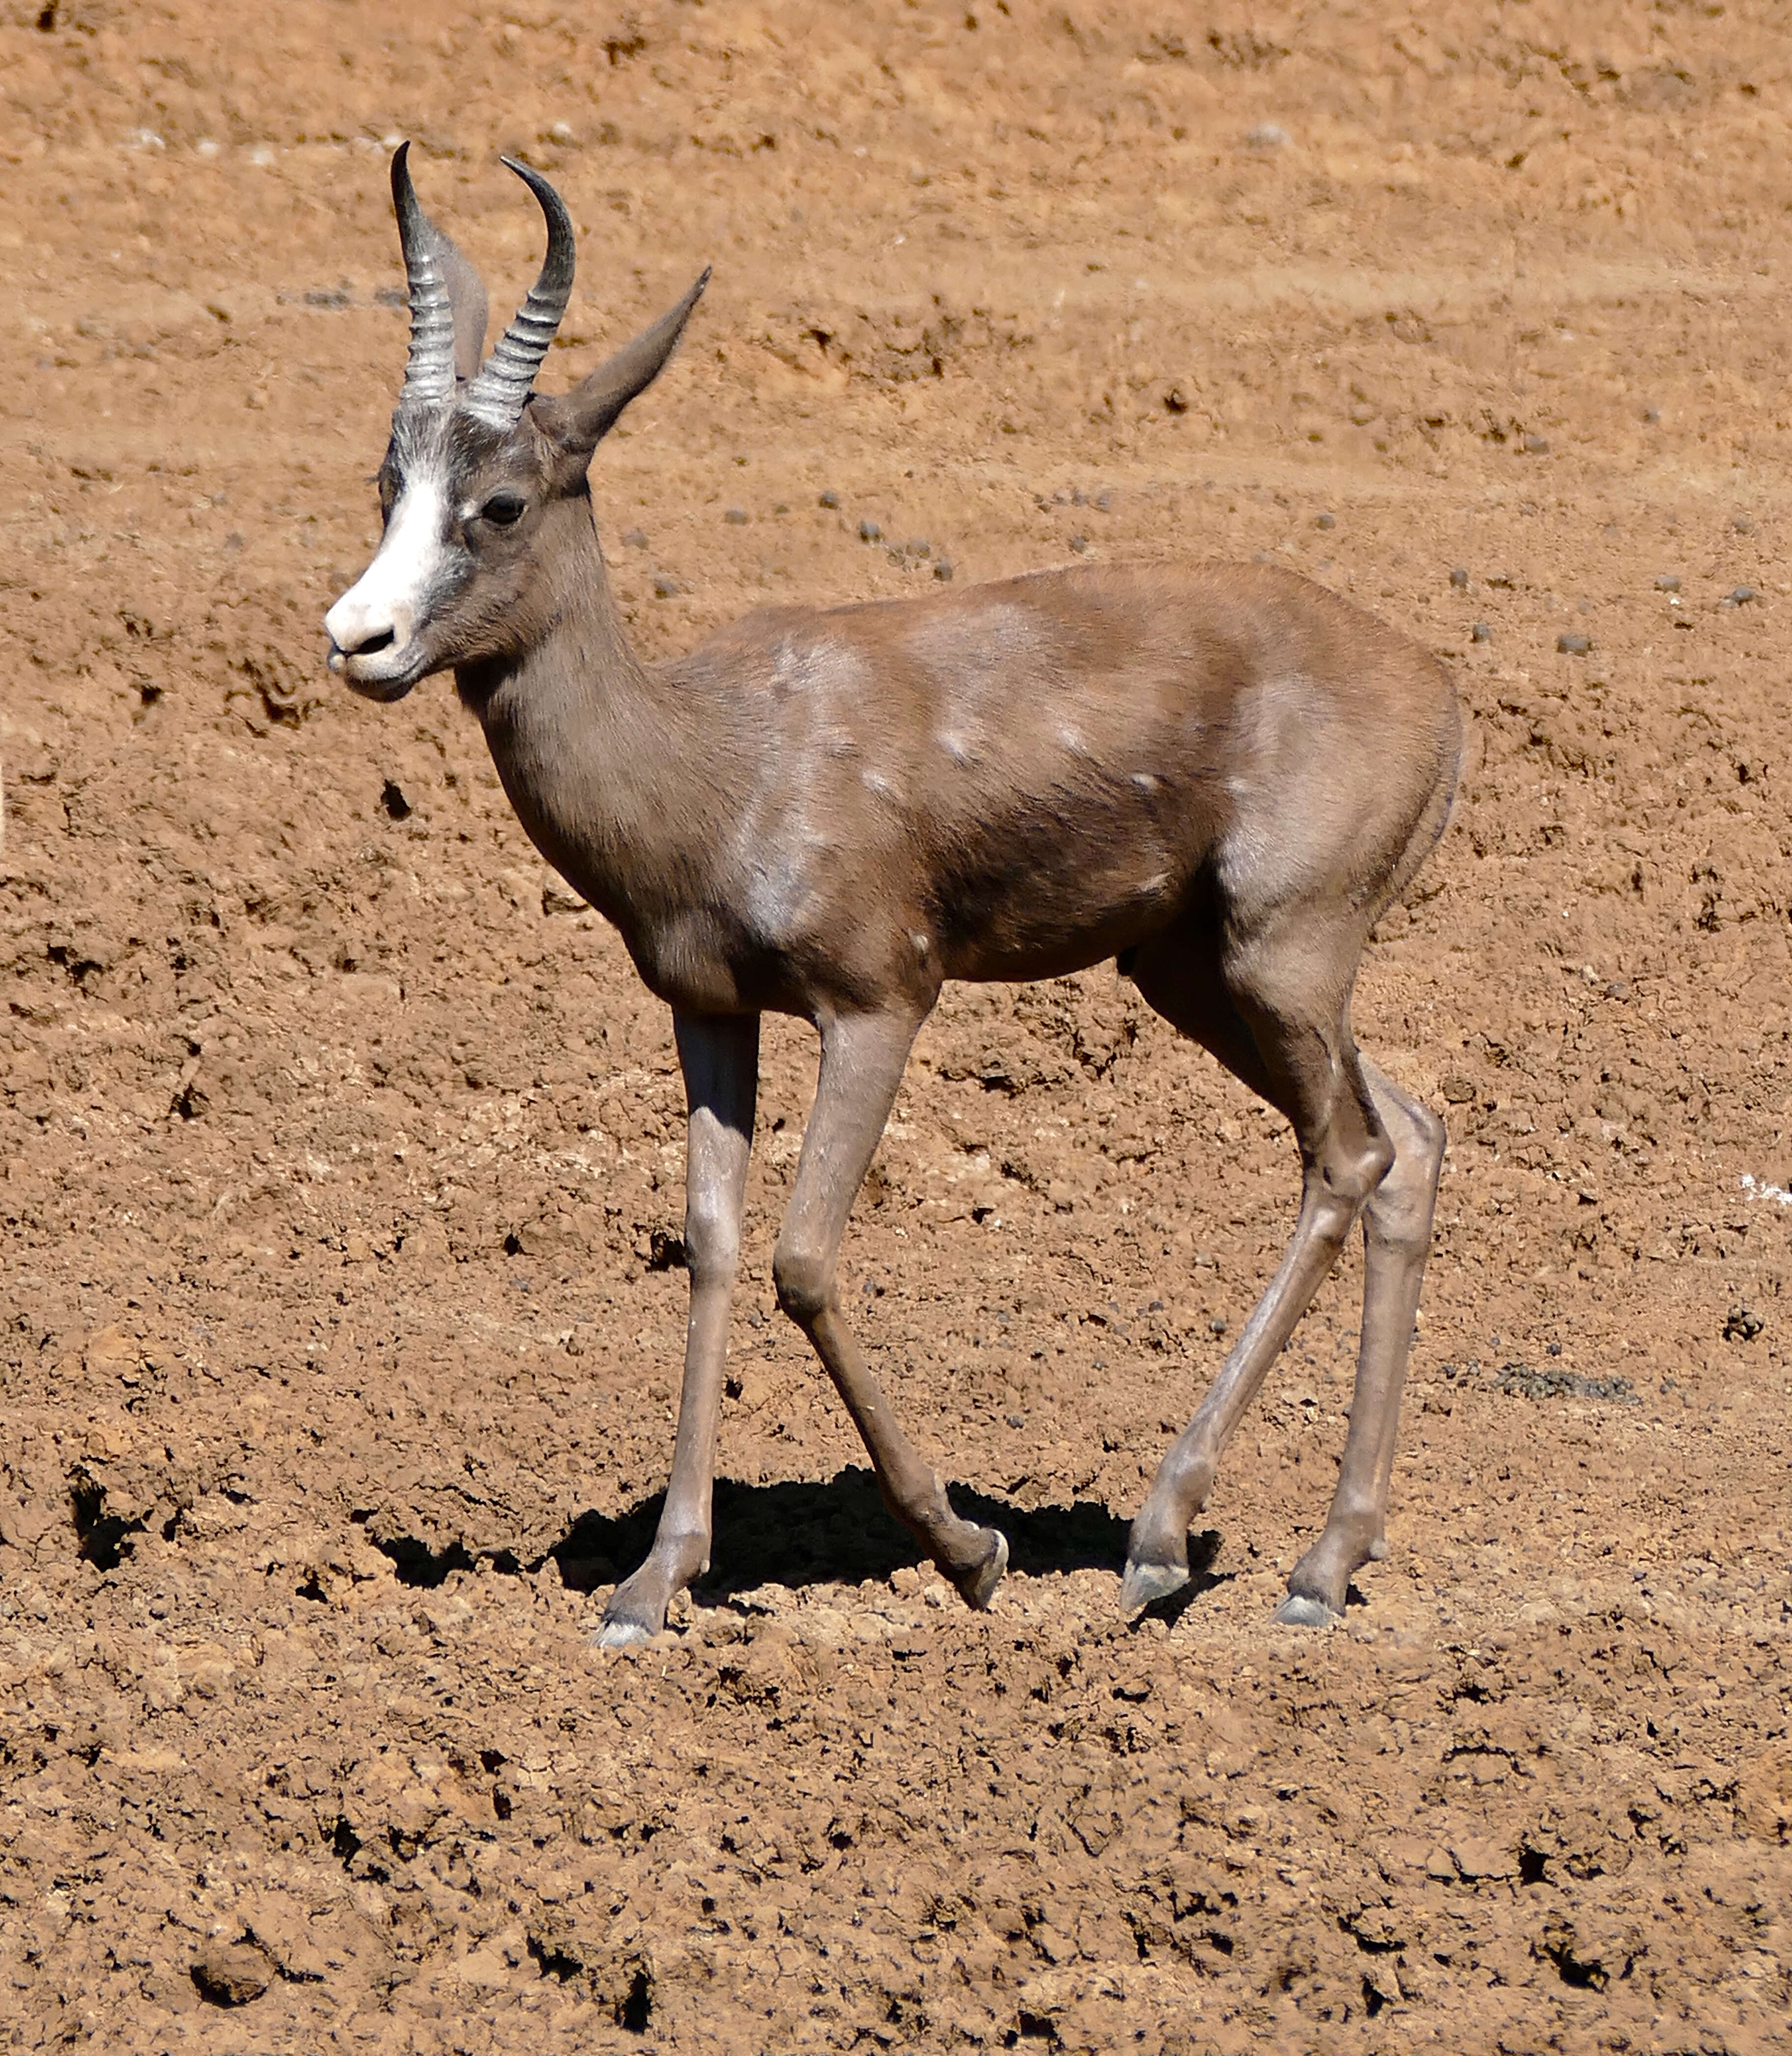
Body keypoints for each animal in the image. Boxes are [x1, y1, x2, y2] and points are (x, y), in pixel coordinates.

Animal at [329, 149, 1465, 1653]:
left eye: (503, 500)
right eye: (387, 480)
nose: (360, 638)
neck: (723, 756)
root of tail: (1432, 685)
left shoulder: (879, 1003)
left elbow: (806, 1257)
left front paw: (969, 1549)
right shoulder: (709, 1012)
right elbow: (713, 1246)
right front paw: (653, 1580)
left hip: (1282, 961)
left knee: (1349, 1157)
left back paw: (1166, 1543)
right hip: (1200, 975)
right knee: (1410, 1136)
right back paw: (1326, 1561)